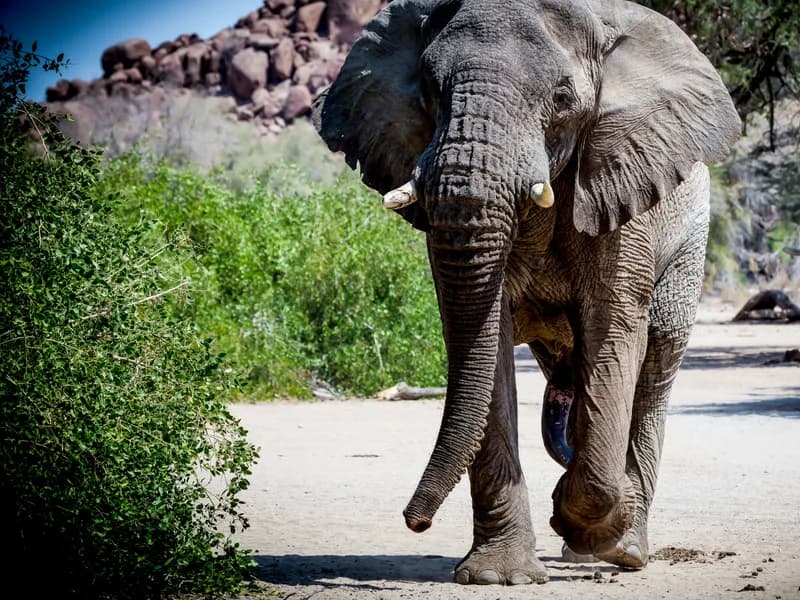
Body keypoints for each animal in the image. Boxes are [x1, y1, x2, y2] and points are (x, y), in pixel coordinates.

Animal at [313, 0, 740, 585]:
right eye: (429, 90)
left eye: (562, 98)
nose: (413, 521)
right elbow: (483, 338)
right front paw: (499, 576)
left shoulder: (618, 178)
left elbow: (612, 330)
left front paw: (586, 524)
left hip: (689, 237)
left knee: (655, 364)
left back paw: (624, 550)